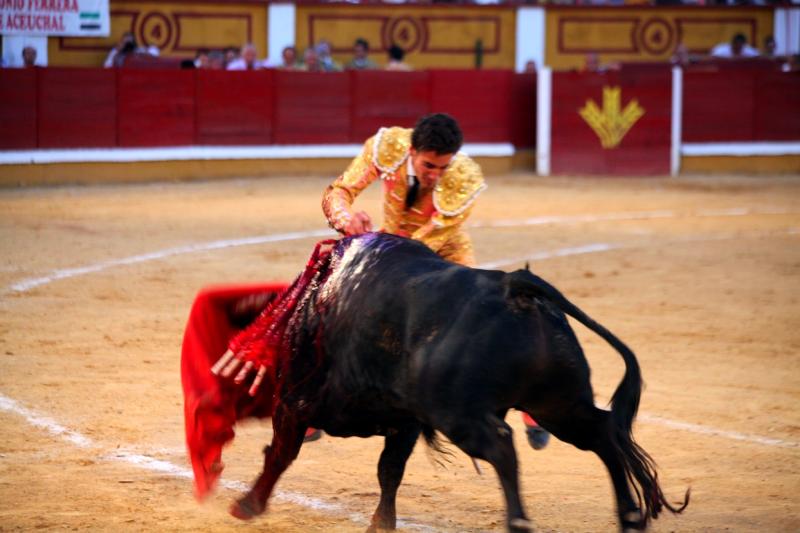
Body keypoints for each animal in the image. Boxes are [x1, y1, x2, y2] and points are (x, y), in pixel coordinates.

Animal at [222, 234, 684, 532]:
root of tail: (515, 286)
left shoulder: (294, 403)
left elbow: (280, 455)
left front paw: (247, 504)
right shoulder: (405, 421)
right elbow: (389, 471)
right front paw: (381, 525)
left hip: (459, 414)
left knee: (502, 444)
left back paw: (519, 521)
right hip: (558, 404)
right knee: (603, 434)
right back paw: (627, 517)